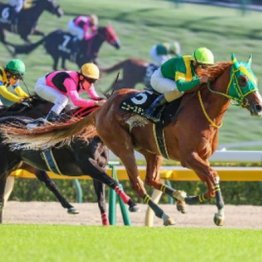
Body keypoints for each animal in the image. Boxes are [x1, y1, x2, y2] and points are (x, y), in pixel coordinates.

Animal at [2, 54, 262, 226]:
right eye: (241, 79)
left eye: (254, 78)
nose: (258, 106)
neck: (202, 110)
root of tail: (104, 106)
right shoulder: (189, 157)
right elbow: (214, 177)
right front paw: (218, 214)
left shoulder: (199, 158)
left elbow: (210, 183)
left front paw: (187, 199)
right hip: (123, 147)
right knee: (138, 183)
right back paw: (163, 214)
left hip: (150, 150)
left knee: (150, 178)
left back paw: (177, 200)